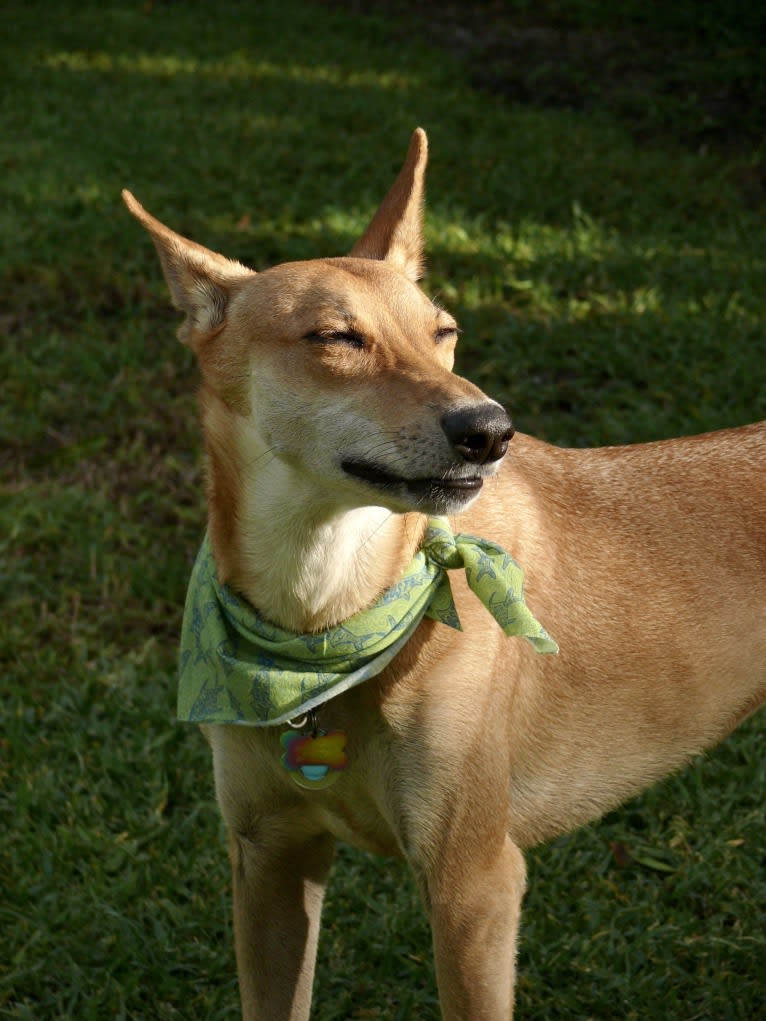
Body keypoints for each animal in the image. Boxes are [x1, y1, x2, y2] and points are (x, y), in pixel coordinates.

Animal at [123, 129, 763, 1021]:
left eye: (445, 331)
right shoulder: (269, 860)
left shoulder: (474, 886)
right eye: (336, 337)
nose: (490, 429)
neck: (324, 622)